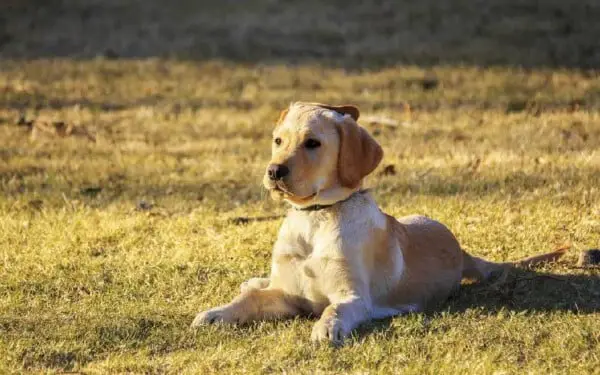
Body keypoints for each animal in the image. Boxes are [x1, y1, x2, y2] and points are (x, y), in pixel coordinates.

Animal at [192, 101, 568, 346]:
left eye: (313, 143)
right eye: (278, 140)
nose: (274, 171)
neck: (316, 217)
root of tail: (462, 253)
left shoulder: (354, 297)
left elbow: (335, 309)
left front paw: (326, 328)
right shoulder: (287, 294)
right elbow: (250, 301)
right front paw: (216, 313)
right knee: (258, 285)